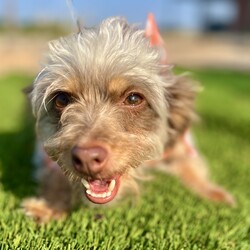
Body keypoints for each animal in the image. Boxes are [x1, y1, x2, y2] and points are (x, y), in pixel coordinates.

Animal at [22, 15, 234, 223]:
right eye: (62, 99)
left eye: (133, 98)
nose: (86, 157)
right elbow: (54, 174)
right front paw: (50, 205)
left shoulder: (183, 145)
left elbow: (192, 168)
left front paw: (214, 192)